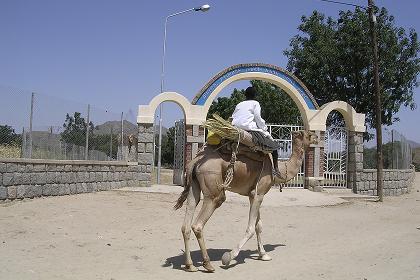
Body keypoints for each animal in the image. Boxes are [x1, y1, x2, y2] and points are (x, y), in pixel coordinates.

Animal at [175, 131, 318, 272]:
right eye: (309, 134)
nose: (317, 138)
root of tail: (194, 162)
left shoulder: (253, 194)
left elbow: (258, 226)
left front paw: (264, 255)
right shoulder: (259, 193)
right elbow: (251, 228)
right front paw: (229, 257)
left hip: (194, 186)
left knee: (186, 223)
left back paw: (190, 265)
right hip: (213, 188)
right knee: (199, 223)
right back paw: (208, 264)